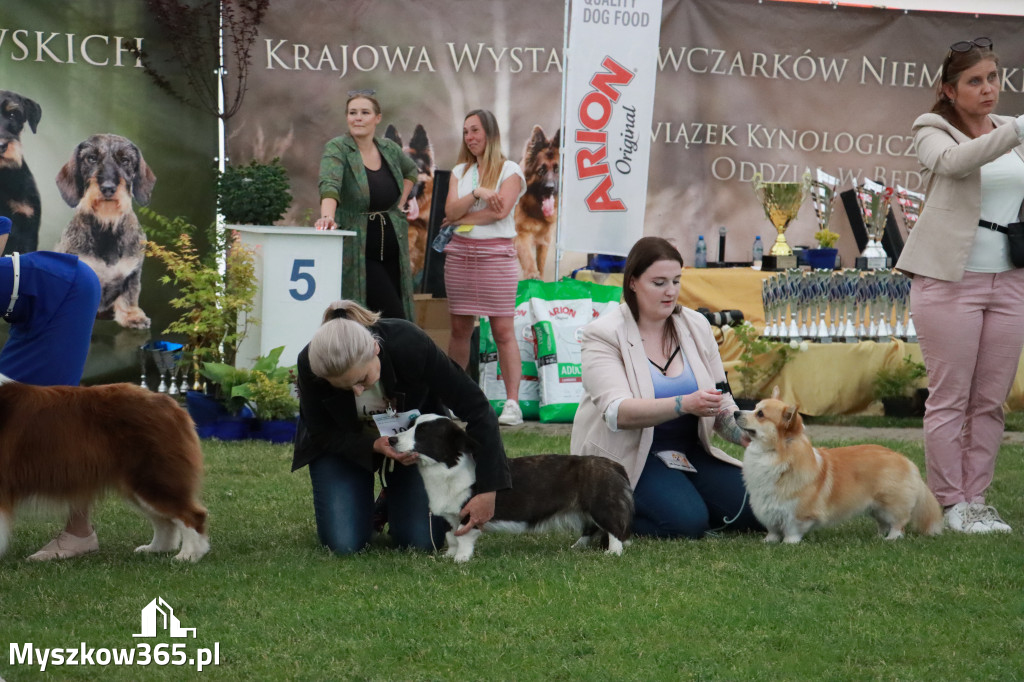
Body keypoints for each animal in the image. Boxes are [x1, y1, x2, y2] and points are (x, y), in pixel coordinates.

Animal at [0, 374, 209, 561]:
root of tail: (168, 402)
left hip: (153, 476)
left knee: (191, 515)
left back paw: (187, 556)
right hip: (139, 483)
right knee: (165, 521)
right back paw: (154, 549)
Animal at [54, 133, 154, 329]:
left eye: (125, 160)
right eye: (91, 158)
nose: (108, 187)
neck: (107, 227)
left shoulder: (133, 271)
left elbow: (130, 294)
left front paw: (132, 315)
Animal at [389, 411, 630, 561]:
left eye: (423, 433)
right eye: (410, 427)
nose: (391, 440)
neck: (447, 469)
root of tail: (615, 465)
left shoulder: (469, 514)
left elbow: (463, 537)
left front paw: (460, 559)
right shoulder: (451, 517)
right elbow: (452, 536)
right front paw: (450, 555)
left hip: (601, 506)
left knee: (615, 529)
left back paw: (613, 552)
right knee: (591, 529)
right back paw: (577, 547)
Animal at [737, 387, 942, 540]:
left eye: (760, 414)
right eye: (754, 407)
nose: (736, 412)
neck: (773, 454)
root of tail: (904, 459)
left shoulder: (796, 513)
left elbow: (792, 530)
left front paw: (789, 543)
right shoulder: (767, 508)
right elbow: (773, 529)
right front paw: (768, 541)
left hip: (891, 503)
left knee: (899, 523)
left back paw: (891, 538)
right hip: (876, 507)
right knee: (883, 523)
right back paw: (878, 537)